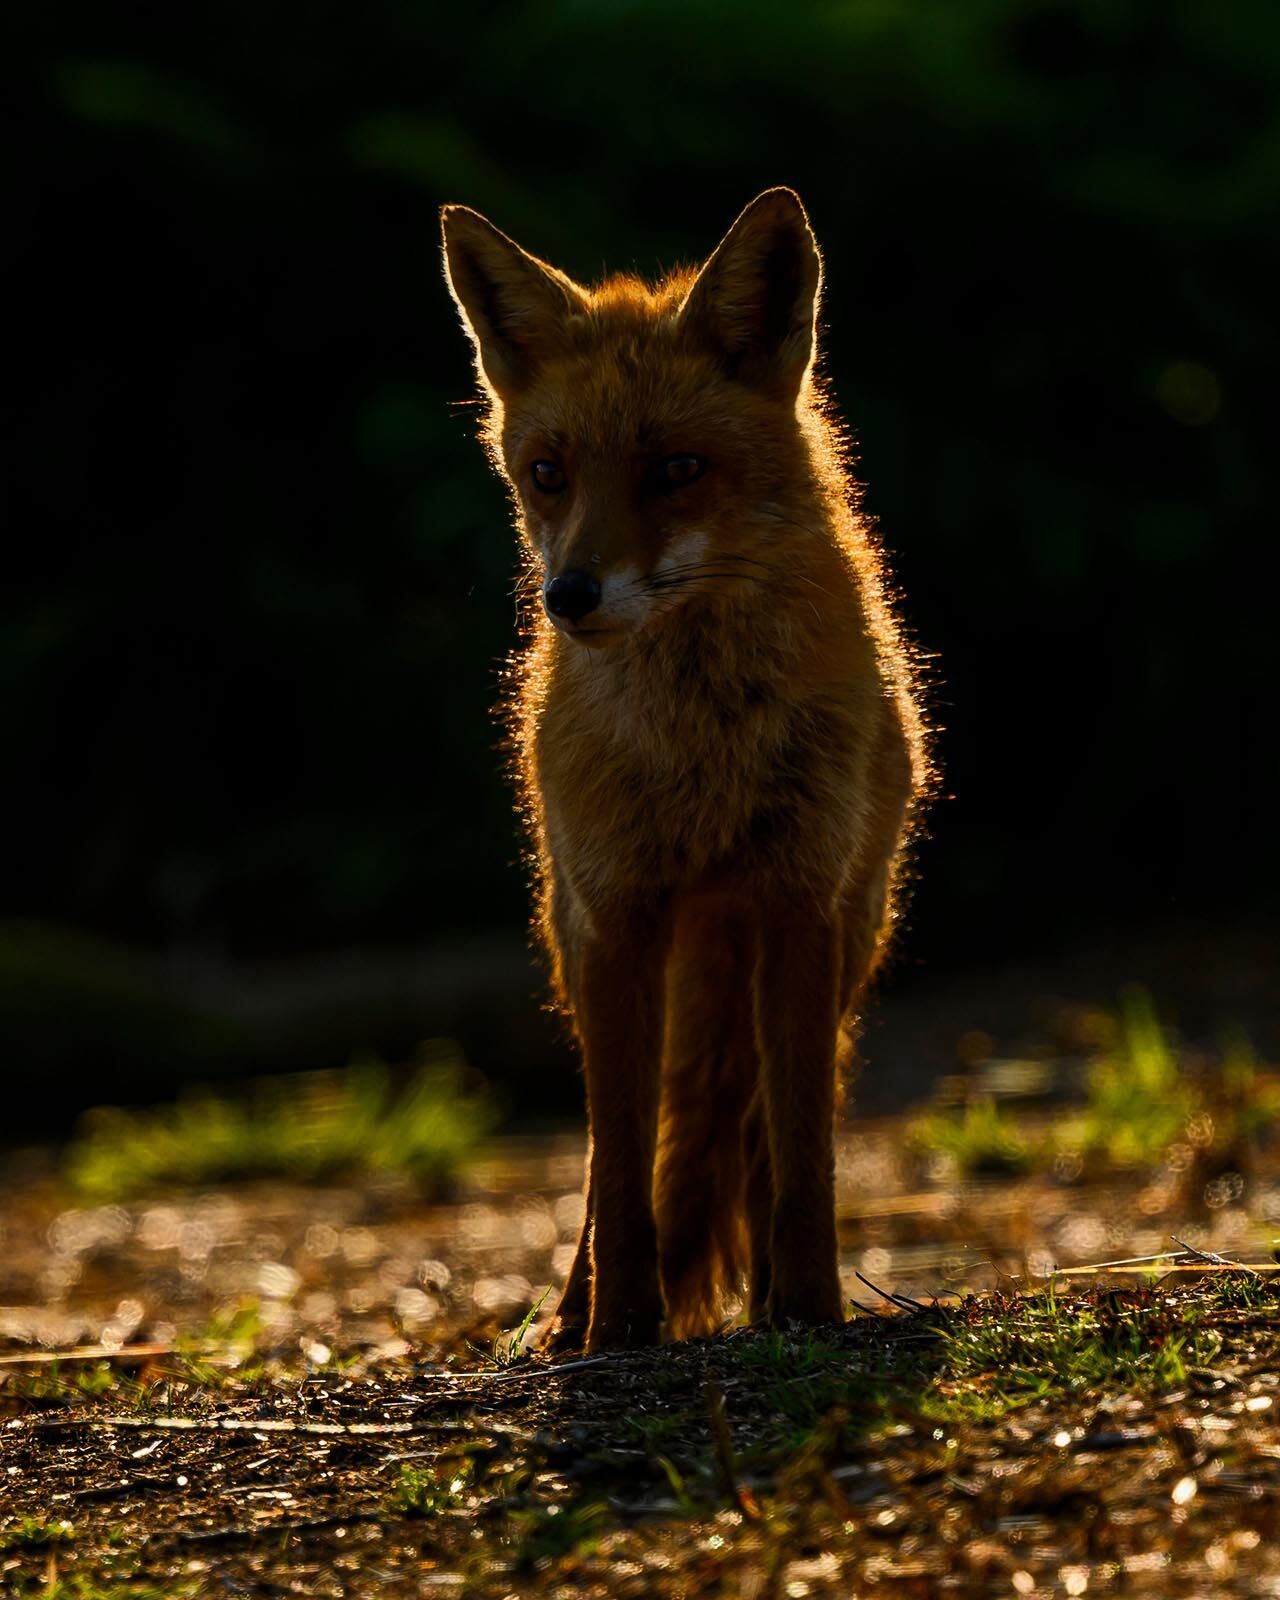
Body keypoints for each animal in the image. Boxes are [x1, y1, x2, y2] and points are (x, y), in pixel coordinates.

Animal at [441, 188, 930, 1353]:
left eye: (676, 470)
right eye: (548, 474)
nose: (569, 596)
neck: (701, 753)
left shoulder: (800, 904)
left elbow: (799, 1155)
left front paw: (806, 1308)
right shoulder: (613, 921)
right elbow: (618, 1175)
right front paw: (618, 1327)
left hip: (847, 933)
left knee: (753, 1131)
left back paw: (763, 1303)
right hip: (599, 943)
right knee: (603, 1168)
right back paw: (569, 1320)